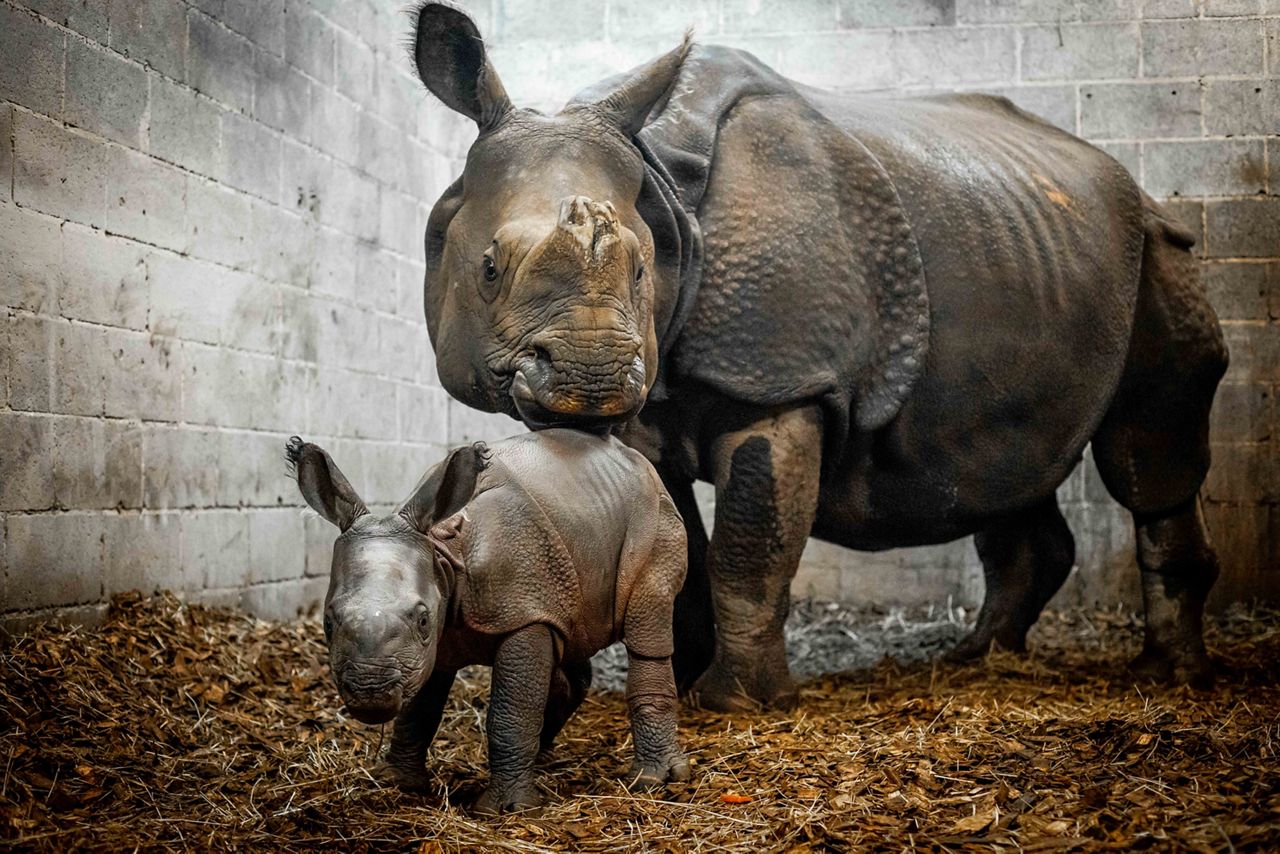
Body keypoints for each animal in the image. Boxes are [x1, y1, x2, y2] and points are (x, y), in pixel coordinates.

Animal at [287, 431, 690, 813]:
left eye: (422, 620)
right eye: (327, 623)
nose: (370, 694)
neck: (443, 553)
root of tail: (635, 458)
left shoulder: (524, 614)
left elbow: (510, 712)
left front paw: (508, 808)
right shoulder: (442, 640)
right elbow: (420, 710)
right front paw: (396, 783)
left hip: (658, 515)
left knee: (647, 630)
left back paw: (654, 779)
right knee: (572, 639)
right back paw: (544, 760)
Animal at [407, 3, 1228, 709]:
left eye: (642, 271)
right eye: (488, 268)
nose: (593, 377)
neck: (665, 189)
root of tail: (1136, 188)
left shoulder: (784, 382)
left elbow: (749, 542)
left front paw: (734, 704)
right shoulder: (655, 402)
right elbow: (675, 545)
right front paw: (682, 679)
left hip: (1158, 251)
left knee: (1145, 443)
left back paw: (1167, 677)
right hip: (1031, 246)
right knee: (1008, 462)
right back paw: (979, 657)